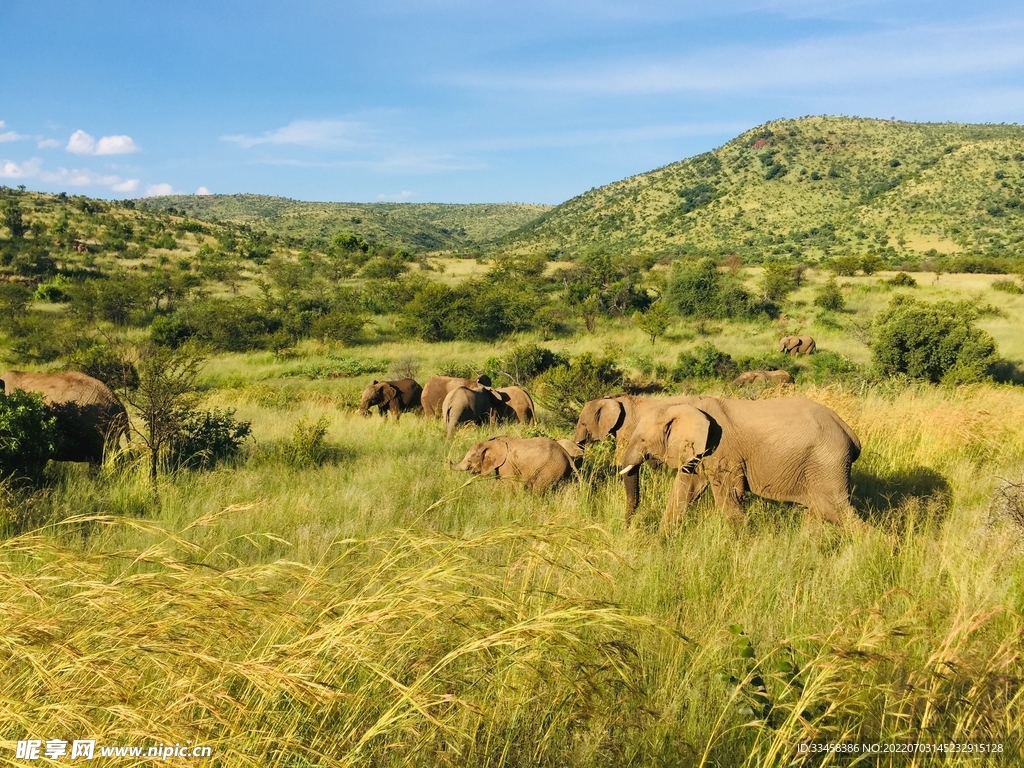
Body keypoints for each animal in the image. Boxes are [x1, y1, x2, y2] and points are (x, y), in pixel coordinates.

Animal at [452, 438, 581, 493]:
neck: (490, 443)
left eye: (469, 460)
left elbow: (508, 483)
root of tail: (565, 452)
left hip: (551, 468)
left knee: (539, 488)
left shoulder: (507, 464)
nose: (449, 461)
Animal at [614, 393, 864, 532]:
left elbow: (730, 497)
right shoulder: (700, 453)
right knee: (815, 512)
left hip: (827, 461)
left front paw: (746, 548)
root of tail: (851, 434)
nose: (627, 527)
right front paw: (661, 543)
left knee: (836, 511)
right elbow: (684, 491)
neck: (685, 405)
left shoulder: (722, 452)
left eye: (642, 440)